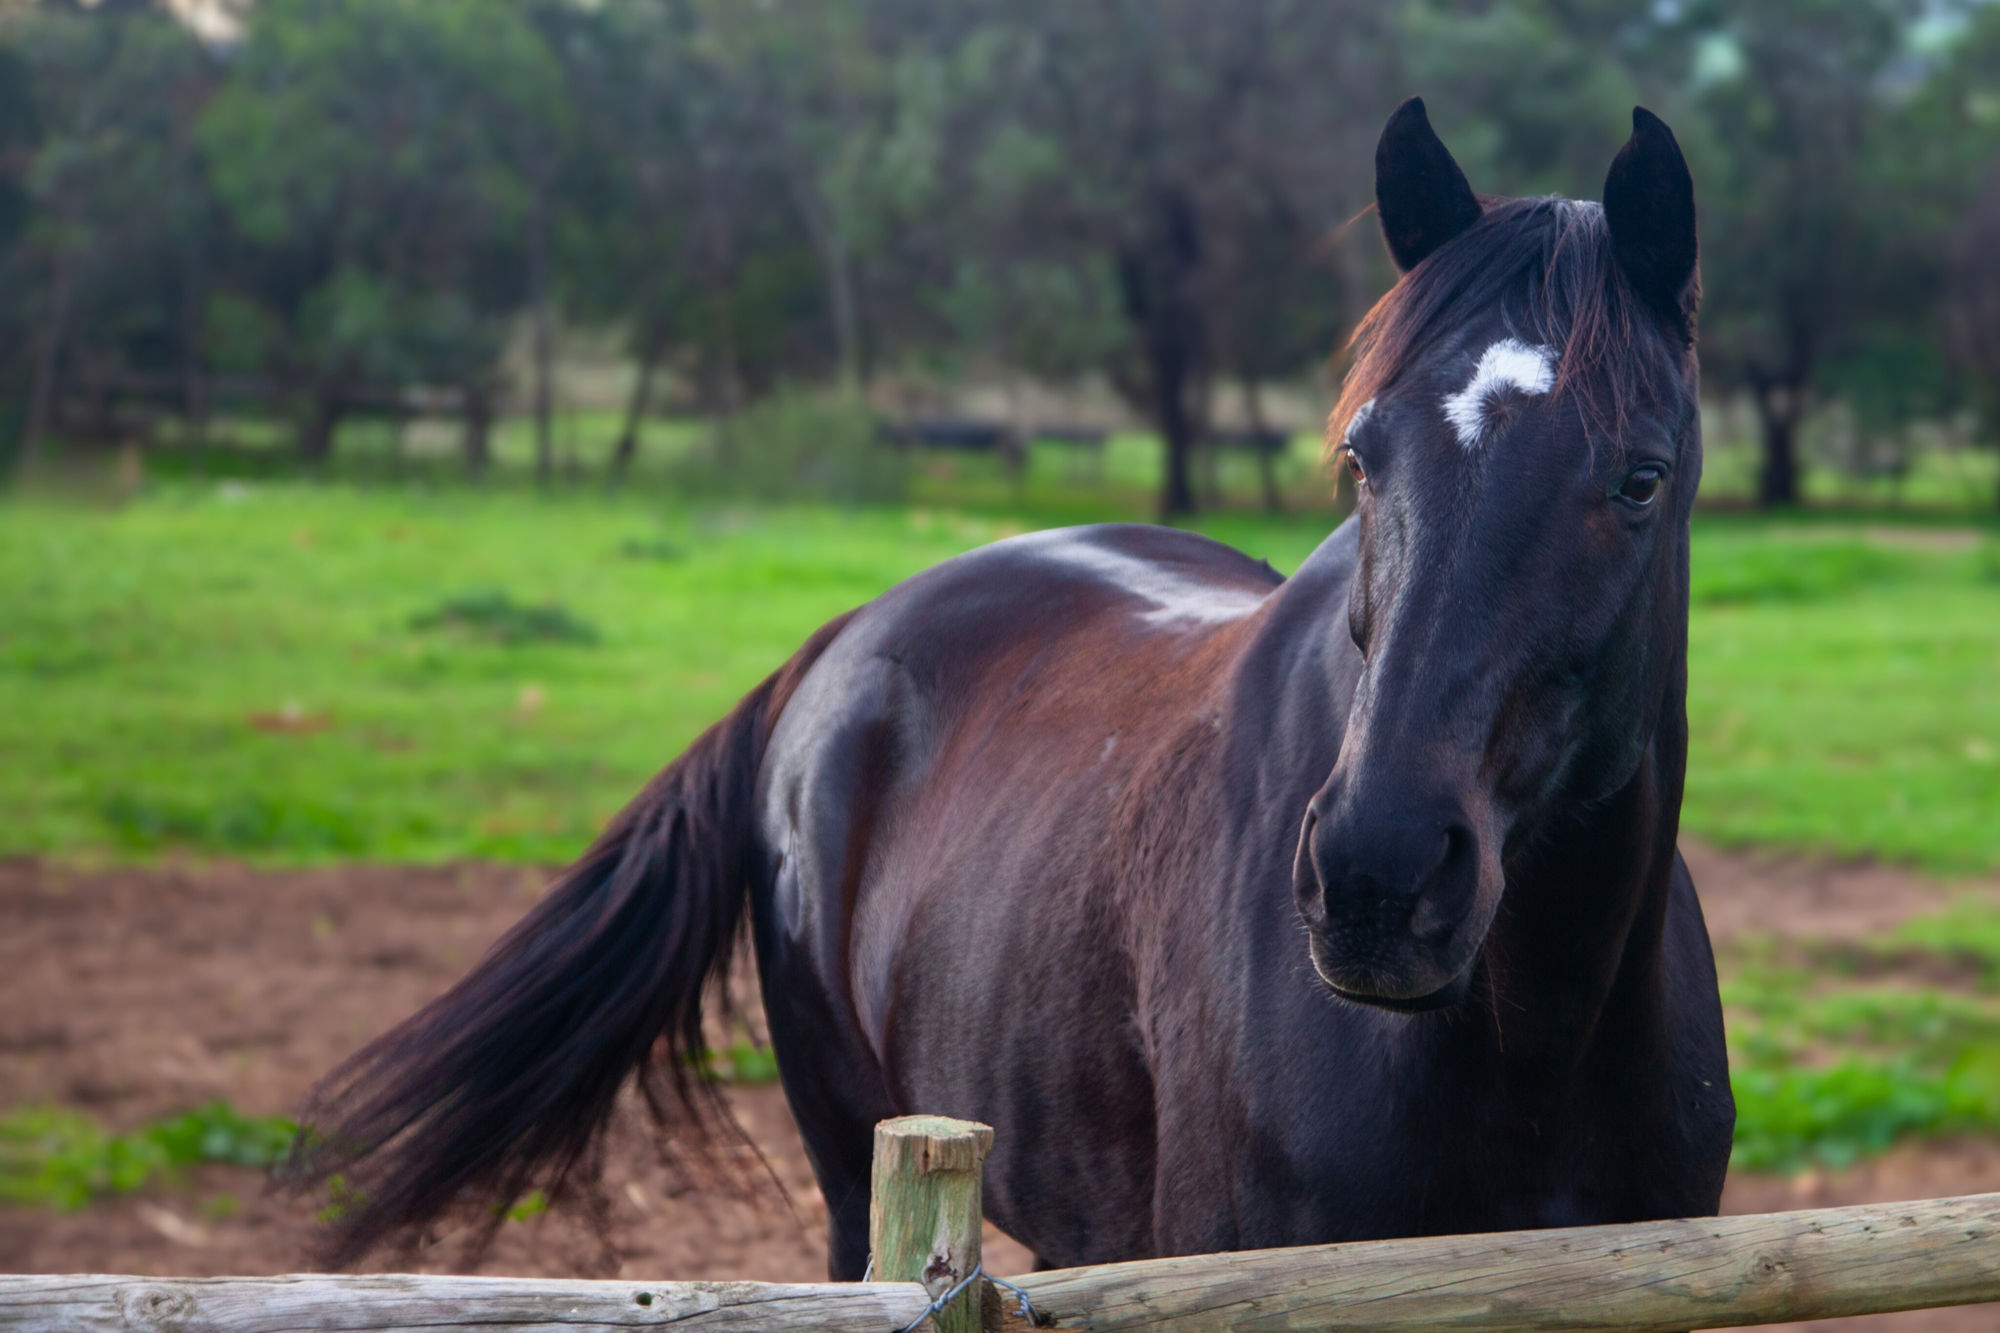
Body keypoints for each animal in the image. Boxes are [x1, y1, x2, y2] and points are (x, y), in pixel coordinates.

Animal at [291, 98, 1732, 1276]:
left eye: (1640, 477)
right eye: (1361, 456)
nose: (1375, 877)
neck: (1534, 1040)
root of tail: (833, 645)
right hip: (847, 1170)